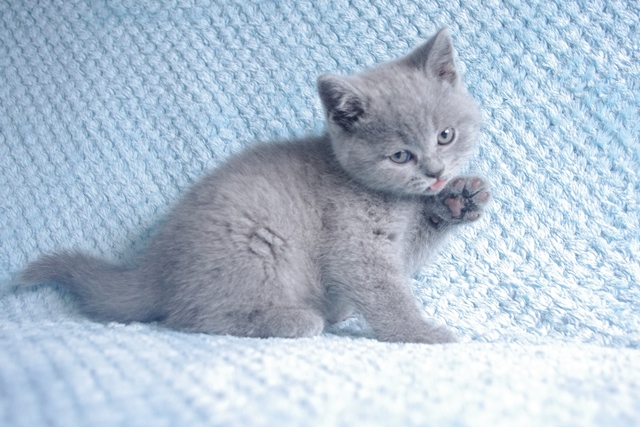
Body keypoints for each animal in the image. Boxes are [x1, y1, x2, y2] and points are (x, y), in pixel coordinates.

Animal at [20, 28, 490, 344]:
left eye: (445, 136)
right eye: (400, 156)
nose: (435, 172)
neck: (393, 199)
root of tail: (154, 269)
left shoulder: (399, 242)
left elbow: (413, 252)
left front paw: (460, 200)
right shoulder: (354, 246)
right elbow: (387, 294)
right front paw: (423, 333)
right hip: (254, 247)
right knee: (189, 318)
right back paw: (295, 319)